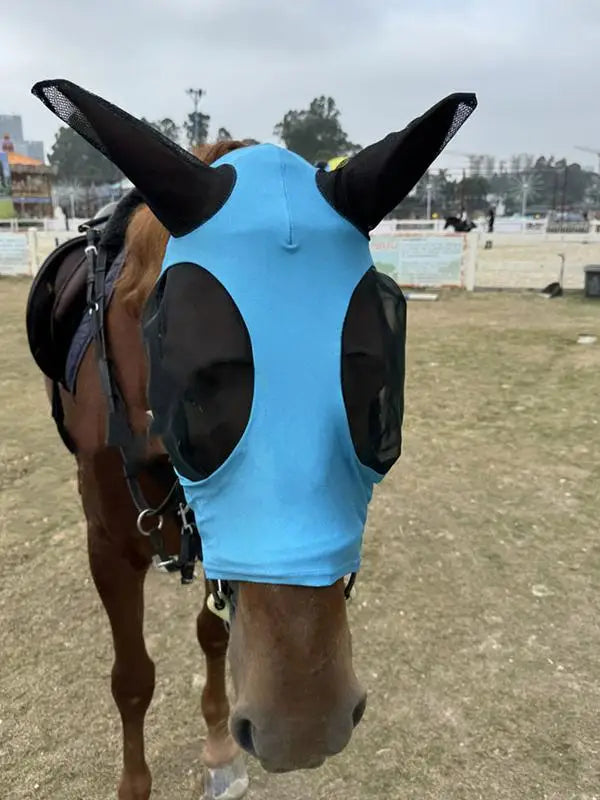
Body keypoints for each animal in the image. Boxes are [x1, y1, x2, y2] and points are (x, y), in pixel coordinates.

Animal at [26, 78, 476, 799]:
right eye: (196, 386)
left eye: (374, 388)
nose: (304, 722)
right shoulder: (108, 545)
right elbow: (133, 677)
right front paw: (135, 782)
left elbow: (213, 636)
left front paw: (217, 748)